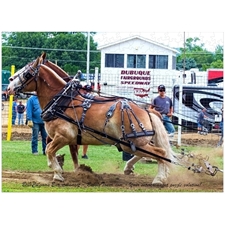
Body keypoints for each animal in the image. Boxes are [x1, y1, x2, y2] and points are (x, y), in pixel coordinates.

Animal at [7, 53, 178, 185]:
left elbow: (50, 150)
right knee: (150, 153)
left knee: (161, 153)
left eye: (27, 73)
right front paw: (63, 170)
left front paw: (59, 172)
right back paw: (132, 169)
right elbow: (57, 151)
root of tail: (147, 112)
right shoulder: (64, 138)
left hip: (133, 142)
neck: (62, 101)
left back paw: (159, 178)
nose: (8, 86)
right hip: (132, 144)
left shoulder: (64, 136)